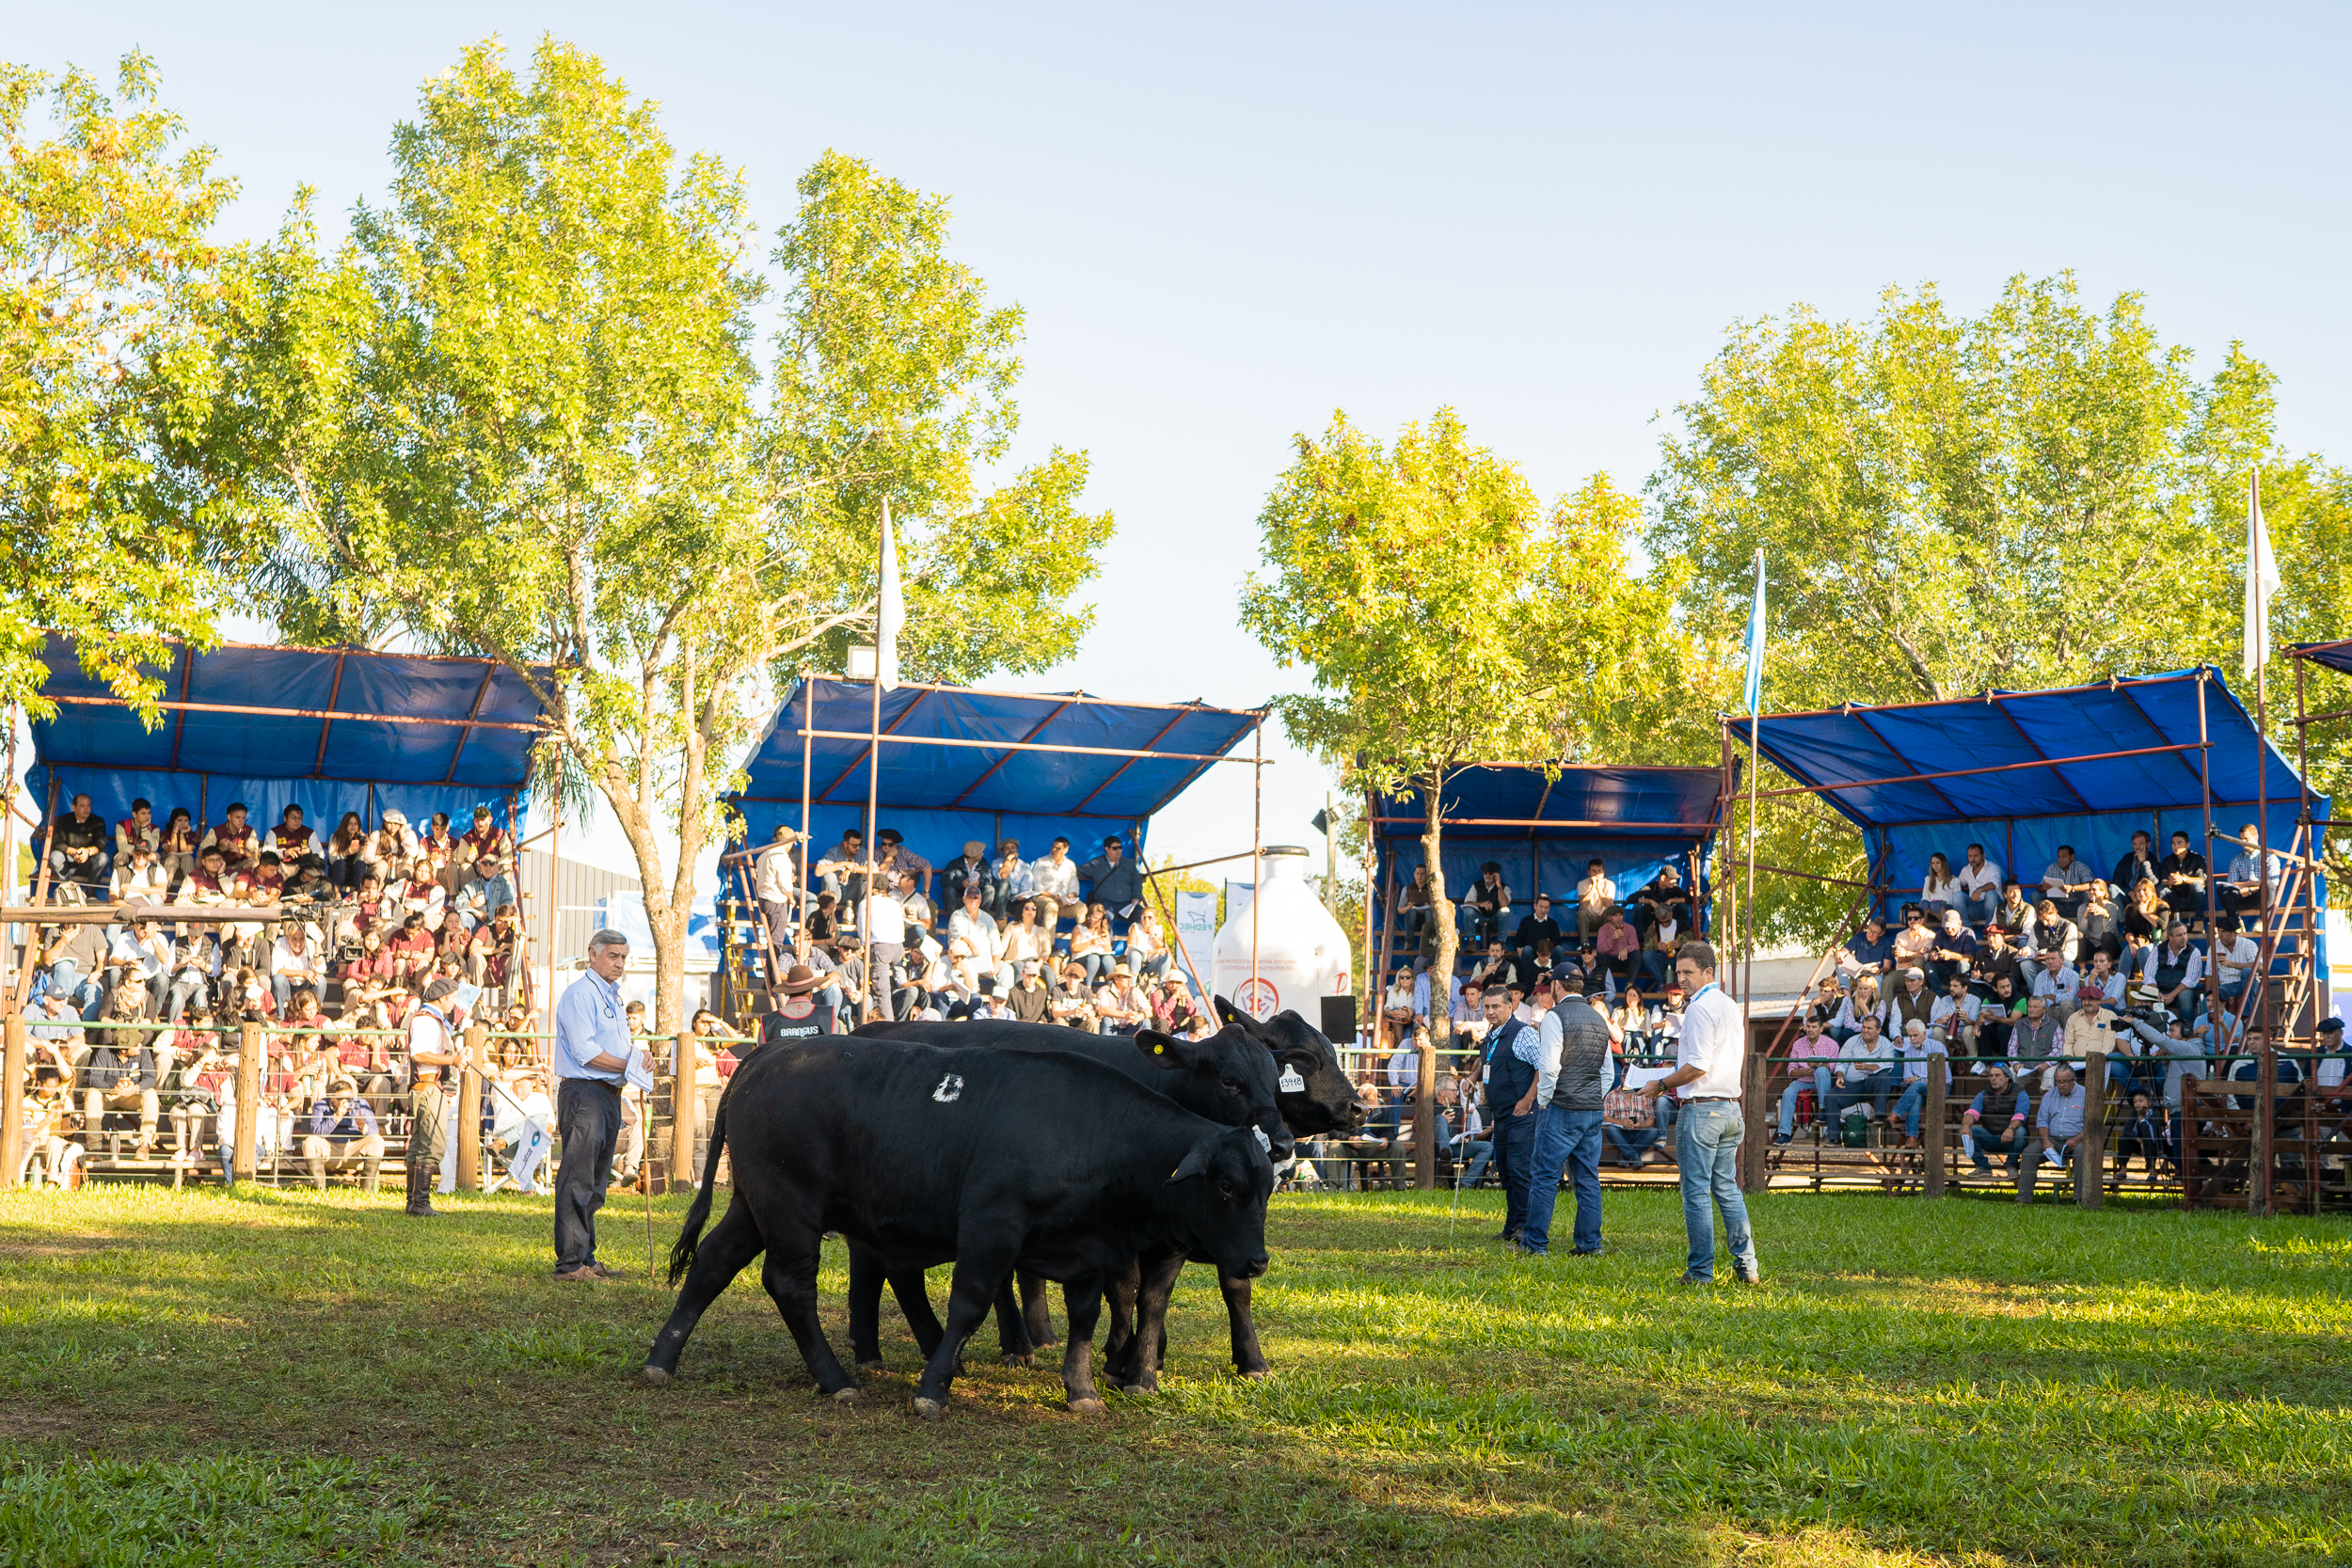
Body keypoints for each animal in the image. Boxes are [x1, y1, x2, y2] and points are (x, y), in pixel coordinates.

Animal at [640, 1034, 1270, 1419]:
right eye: (1225, 1187)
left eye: (1266, 1186)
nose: (1257, 1261)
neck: (1090, 1131)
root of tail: (766, 1056)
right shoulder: (992, 1228)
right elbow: (970, 1304)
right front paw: (932, 1389)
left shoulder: (1088, 1248)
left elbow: (1086, 1318)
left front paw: (1082, 1389)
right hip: (789, 1207)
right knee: (791, 1285)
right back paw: (835, 1376)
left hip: (754, 1205)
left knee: (713, 1262)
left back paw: (661, 1358)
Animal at [847, 1006, 1364, 1382]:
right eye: (1229, 1081)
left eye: (1278, 1080)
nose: (1358, 1106)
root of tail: (877, 1028)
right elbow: (1128, 1290)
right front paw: (1130, 1359)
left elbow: (1226, 1285)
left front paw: (1245, 1360)